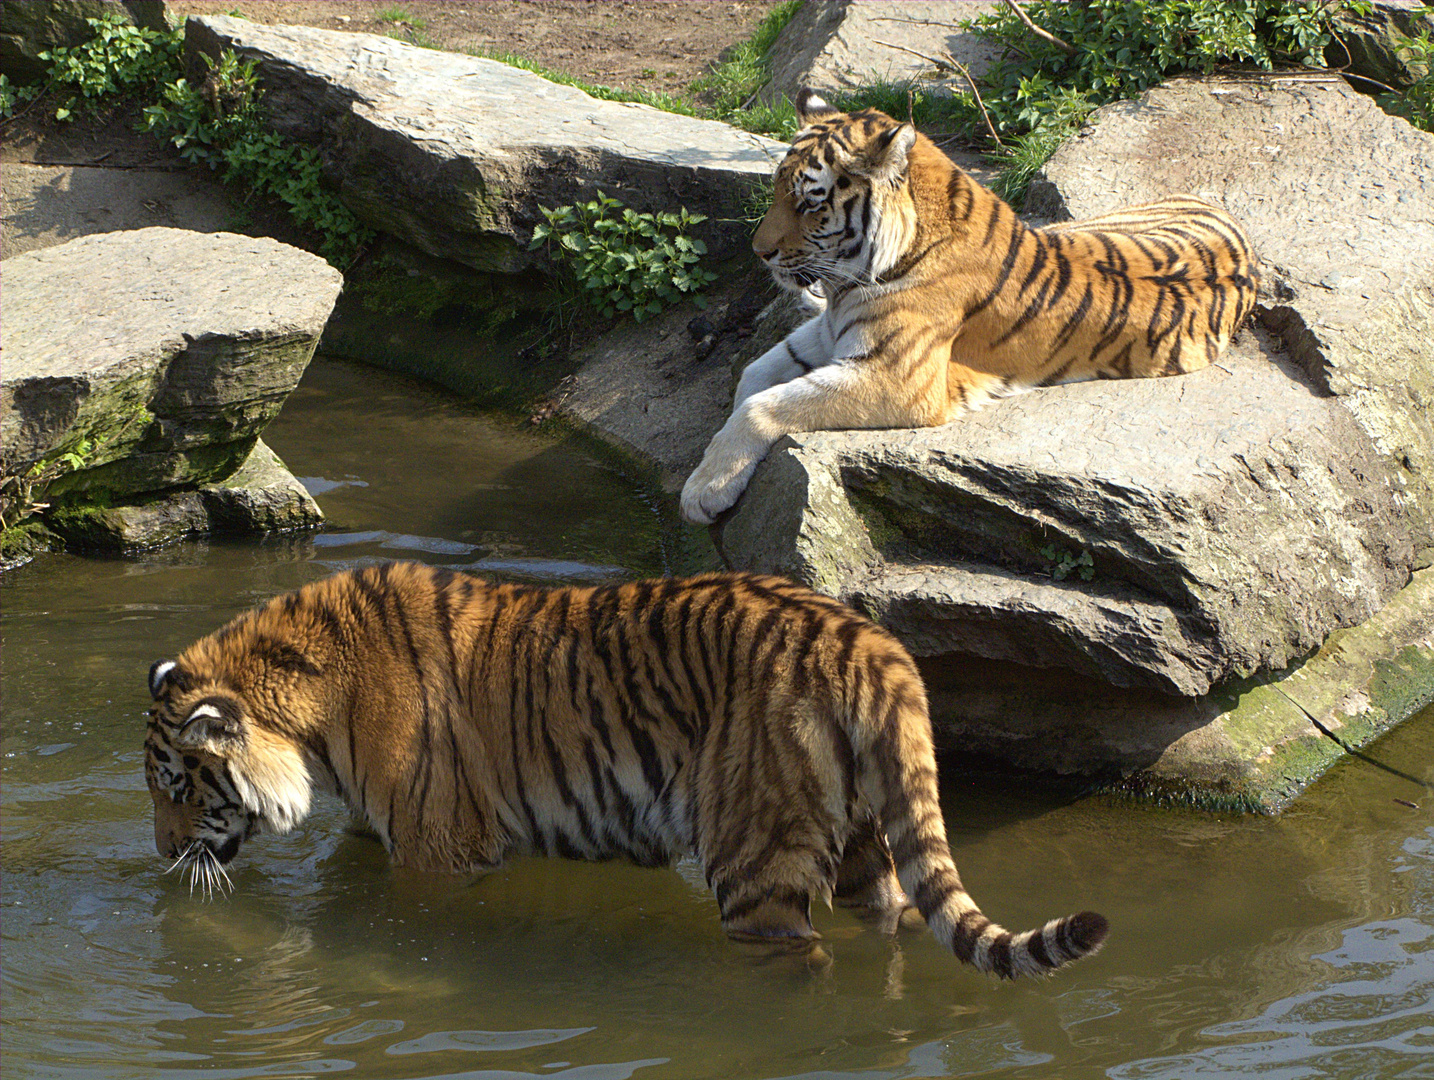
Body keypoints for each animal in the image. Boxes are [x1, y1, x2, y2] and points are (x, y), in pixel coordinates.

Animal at [145, 565, 1107, 975]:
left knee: (796, 957)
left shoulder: (438, 853)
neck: (307, 714)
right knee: (896, 919)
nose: (160, 852)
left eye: (177, 787)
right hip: (869, 841)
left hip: (755, 861)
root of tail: (869, 640)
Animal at [682, 88, 1256, 522]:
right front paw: (713, 465)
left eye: (808, 202)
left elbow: (765, 405)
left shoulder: (898, 377)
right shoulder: (830, 332)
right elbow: (754, 377)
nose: (759, 251)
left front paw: (702, 491)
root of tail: (1229, 218)